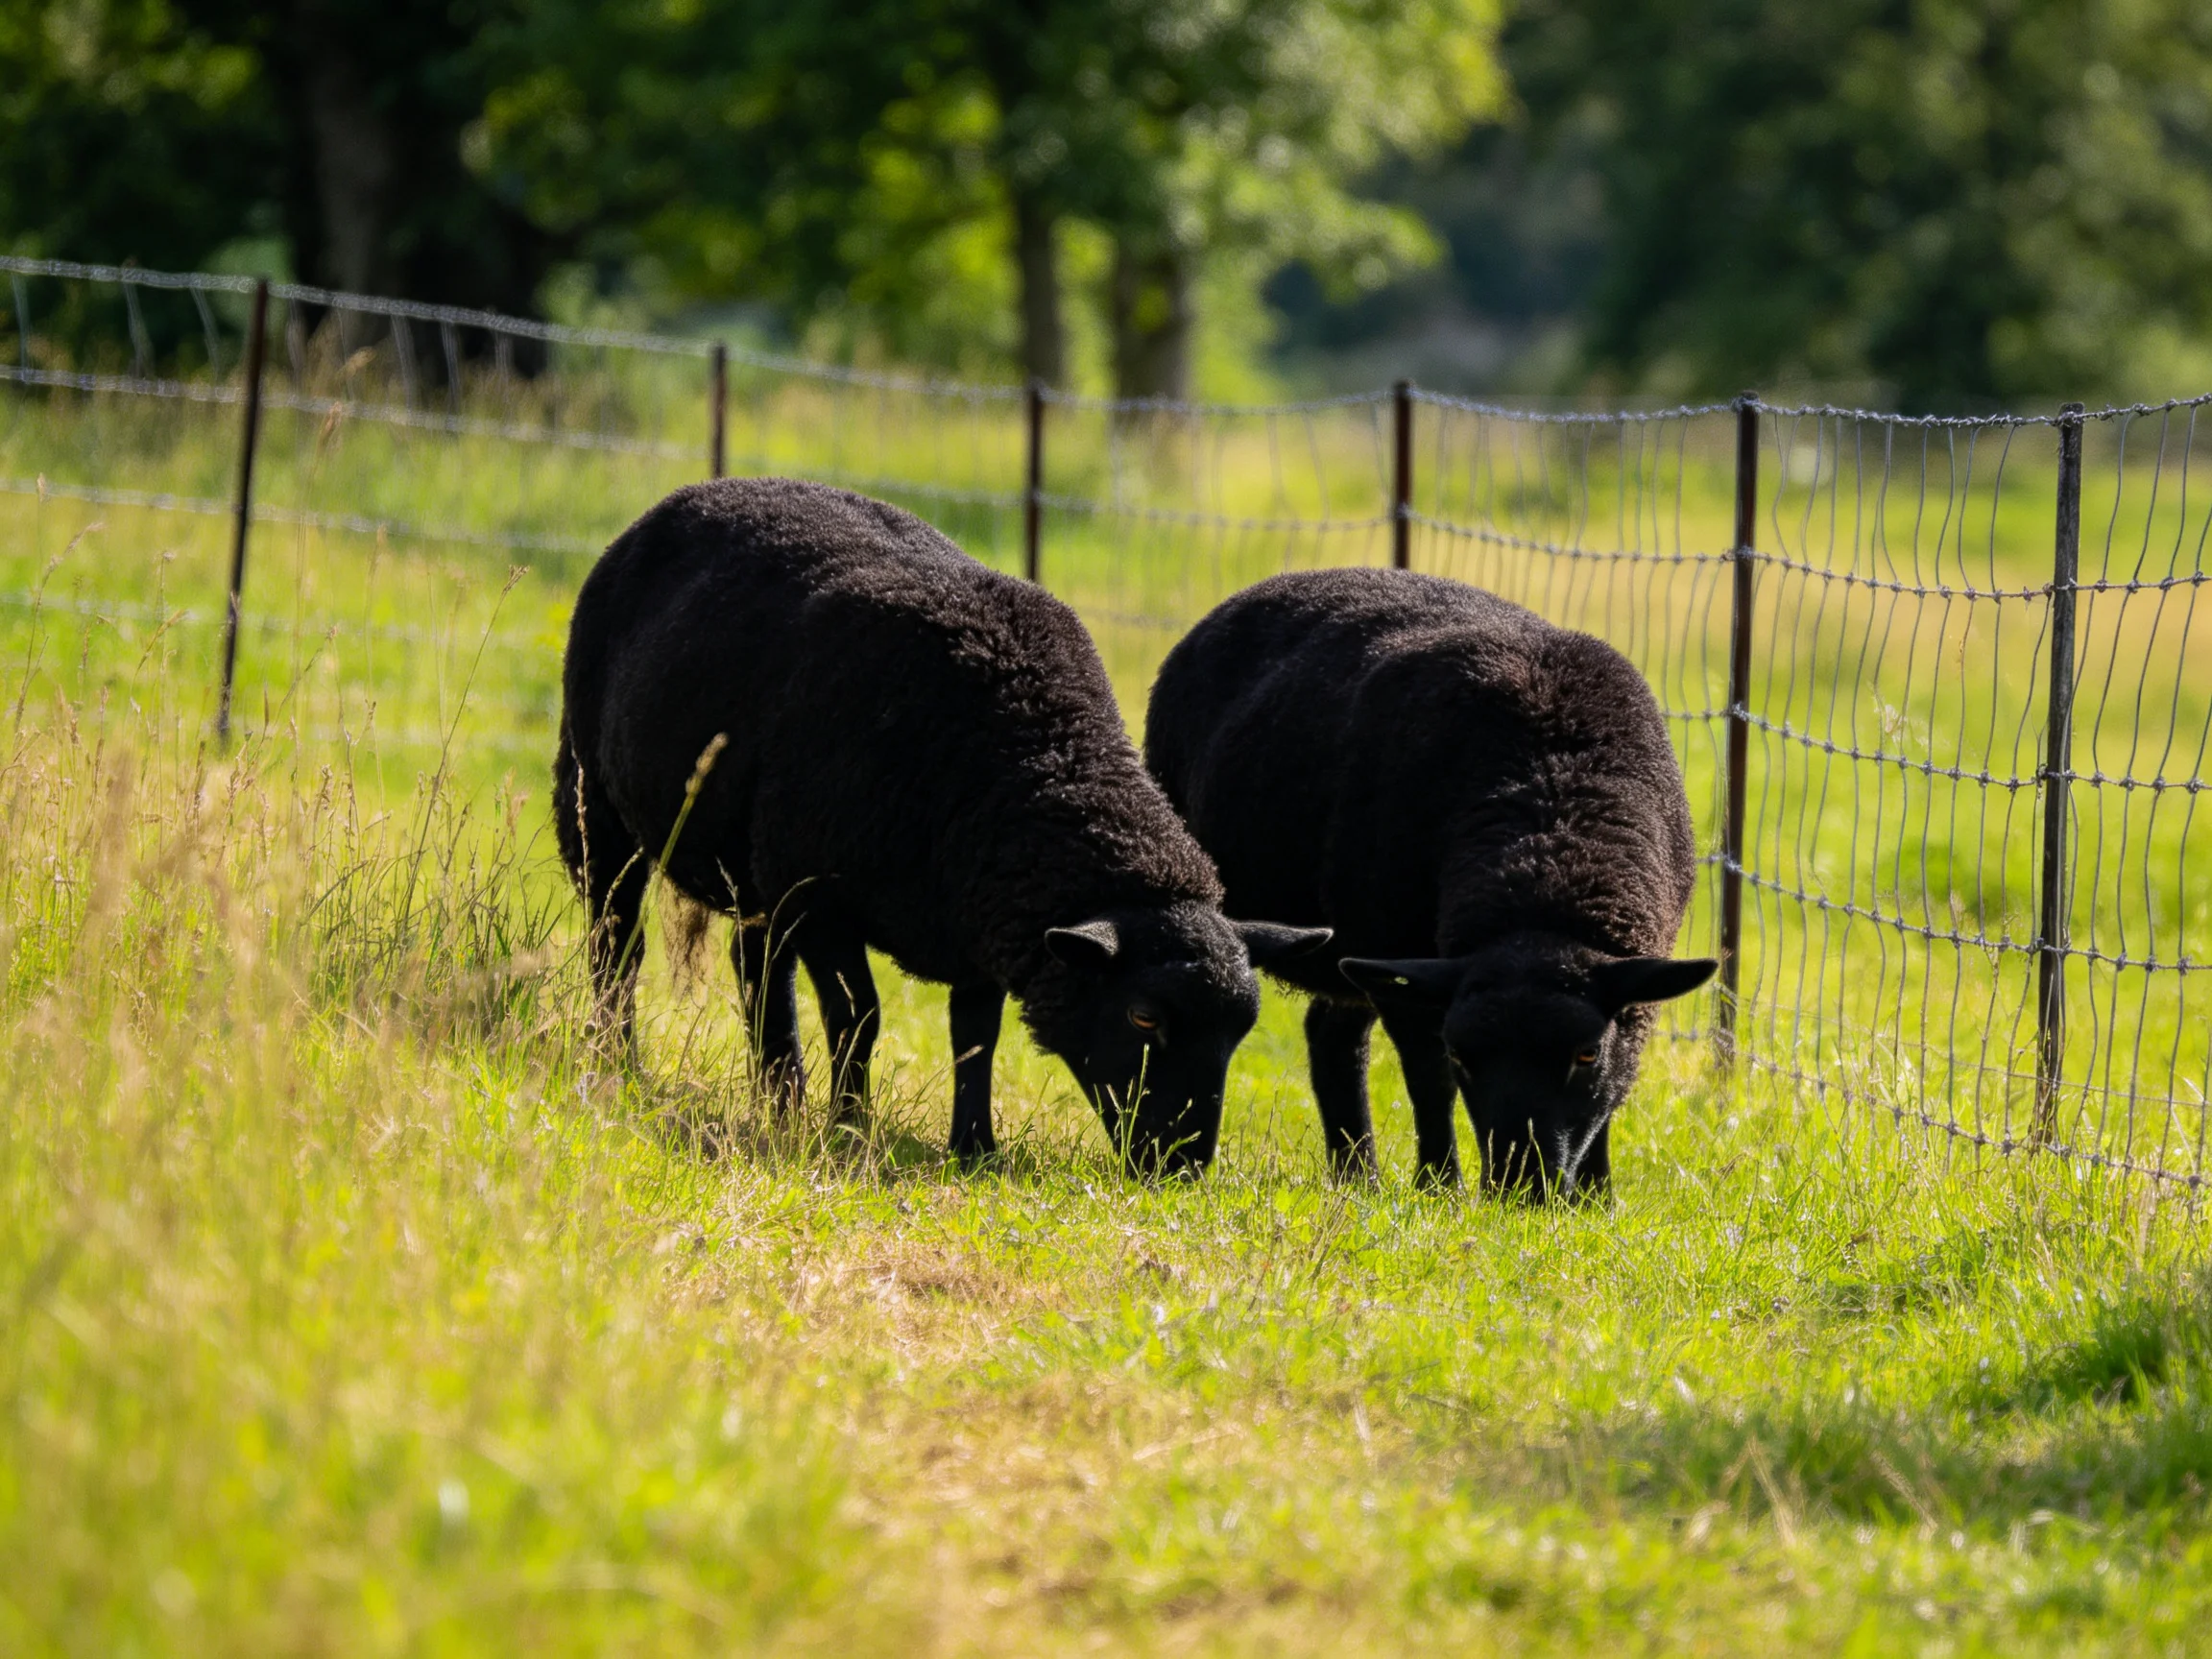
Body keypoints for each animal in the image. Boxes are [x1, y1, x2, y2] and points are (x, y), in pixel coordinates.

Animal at [553, 477, 1329, 1174]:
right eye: (1143, 1017)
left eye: (1240, 1032)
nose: (1183, 1166)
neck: (1037, 757)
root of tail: (697, 491)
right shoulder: (824, 898)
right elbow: (859, 1017)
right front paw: (850, 1132)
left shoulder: (981, 915)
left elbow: (975, 1037)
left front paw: (974, 1148)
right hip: (597, 802)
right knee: (617, 941)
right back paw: (620, 1063)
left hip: (757, 871)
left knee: (758, 969)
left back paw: (781, 1100)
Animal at [1144, 566, 1714, 1197]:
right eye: (1465, 1055)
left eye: (1586, 1054)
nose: (1522, 1188)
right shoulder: (1403, 962)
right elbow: (1429, 1079)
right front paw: (1440, 1187)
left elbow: (1615, 1086)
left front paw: (1595, 1199)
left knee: (1331, 1034)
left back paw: (1358, 1176)